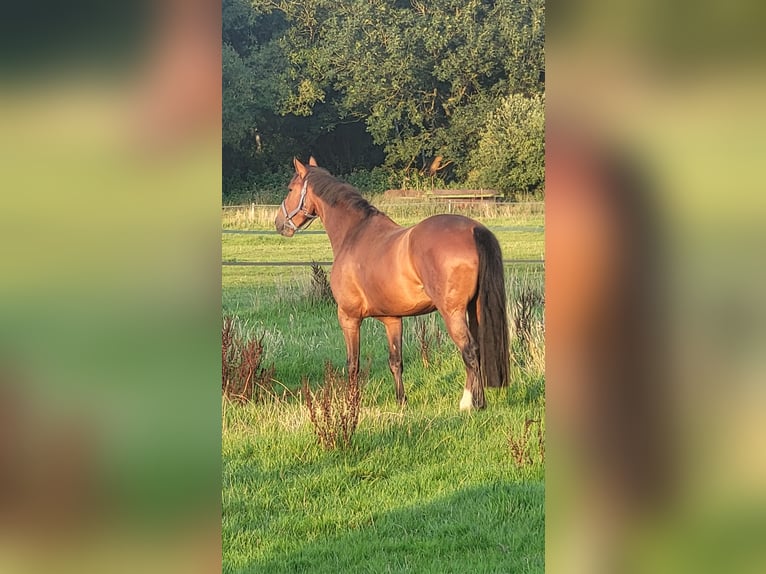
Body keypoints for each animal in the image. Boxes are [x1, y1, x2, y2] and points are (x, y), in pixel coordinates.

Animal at [275, 157, 510, 410]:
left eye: (290, 188)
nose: (279, 223)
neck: (353, 234)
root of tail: (475, 229)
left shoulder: (348, 317)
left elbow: (353, 364)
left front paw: (351, 403)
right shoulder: (392, 319)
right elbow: (395, 361)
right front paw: (401, 401)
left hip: (452, 313)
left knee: (469, 351)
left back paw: (472, 403)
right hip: (475, 308)